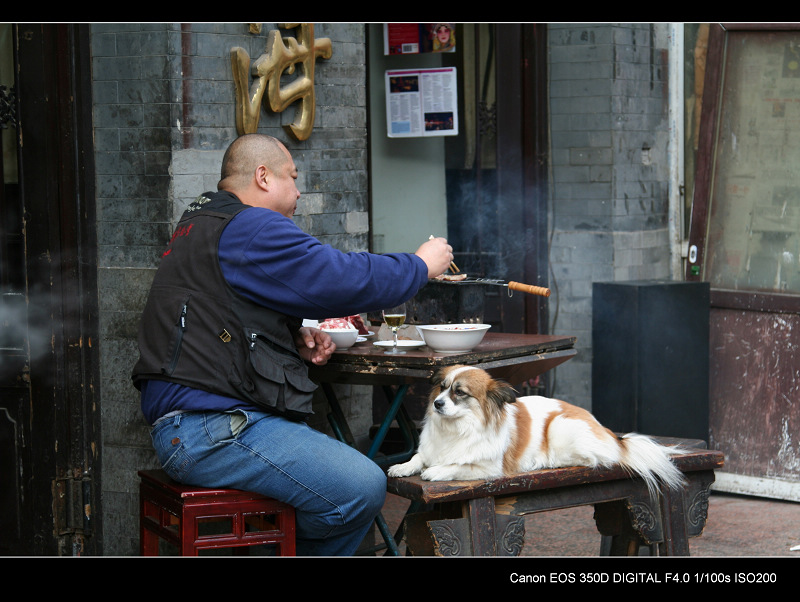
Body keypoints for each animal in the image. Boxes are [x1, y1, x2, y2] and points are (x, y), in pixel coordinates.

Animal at [388, 364, 688, 494]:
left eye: (459, 392)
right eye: (442, 387)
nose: (437, 403)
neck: (457, 428)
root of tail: (612, 436)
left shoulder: (488, 468)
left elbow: (457, 465)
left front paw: (437, 471)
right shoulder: (430, 449)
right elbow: (418, 457)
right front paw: (403, 467)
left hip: (560, 428)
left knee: (593, 459)